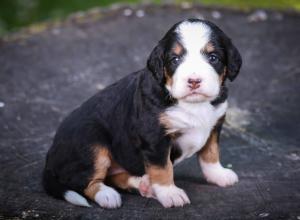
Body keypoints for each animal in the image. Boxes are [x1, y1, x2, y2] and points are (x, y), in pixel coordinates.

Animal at [43, 18, 243, 208]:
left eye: (213, 57)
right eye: (175, 59)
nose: (194, 81)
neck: (192, 104)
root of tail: (50, 156)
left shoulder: (214, 124)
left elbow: (211, 153)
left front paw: (218, 174)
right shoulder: (154, 136)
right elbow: (162, 168)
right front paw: (170, 194)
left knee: (113, 177)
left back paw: (143, 185)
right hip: (92, 141)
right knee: (84, 182)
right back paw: (107, 195)